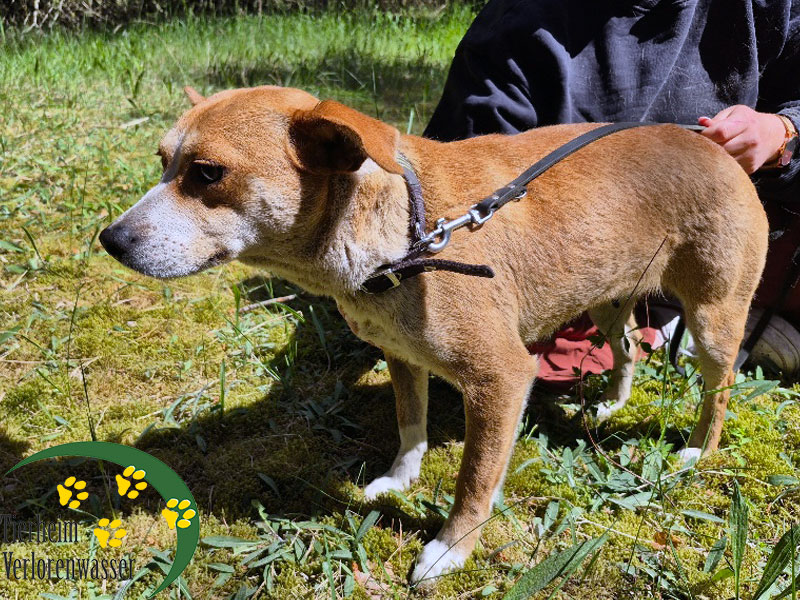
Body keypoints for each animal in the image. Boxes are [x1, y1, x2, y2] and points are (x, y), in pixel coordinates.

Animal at [99, 85, 768, 585]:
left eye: (207, 173)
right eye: (162, 161)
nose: (111, 239)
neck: (408, 233)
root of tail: (709, 143)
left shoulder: (502, 379)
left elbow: (475, 478)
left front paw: (451, 548)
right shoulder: (401, 356)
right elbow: (410, 422)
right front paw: (399, 480)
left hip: (712, 320)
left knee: (721, 385)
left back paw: (698, 451)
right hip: (606, 297)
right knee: (627, 345)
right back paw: (611, 403)